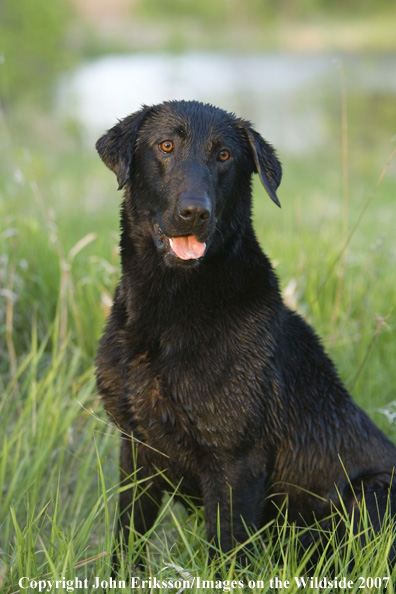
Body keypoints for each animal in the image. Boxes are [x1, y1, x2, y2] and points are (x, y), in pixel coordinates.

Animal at [96, 99, 396, 560]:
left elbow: (225, 553)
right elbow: (126, 544)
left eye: (224, 156)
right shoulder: (136, 448)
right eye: (165, 146)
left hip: (372, 492)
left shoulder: (236, 461)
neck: (169, 315)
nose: (195, 212)